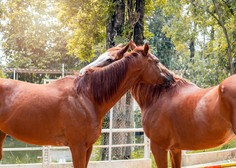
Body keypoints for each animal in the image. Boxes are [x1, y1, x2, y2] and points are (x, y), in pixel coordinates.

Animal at [0, 42, 173, 168]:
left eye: (109, 58)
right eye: (156, 61)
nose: (170, 77)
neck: (86, 96)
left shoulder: (87, 147)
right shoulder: (77, 147)